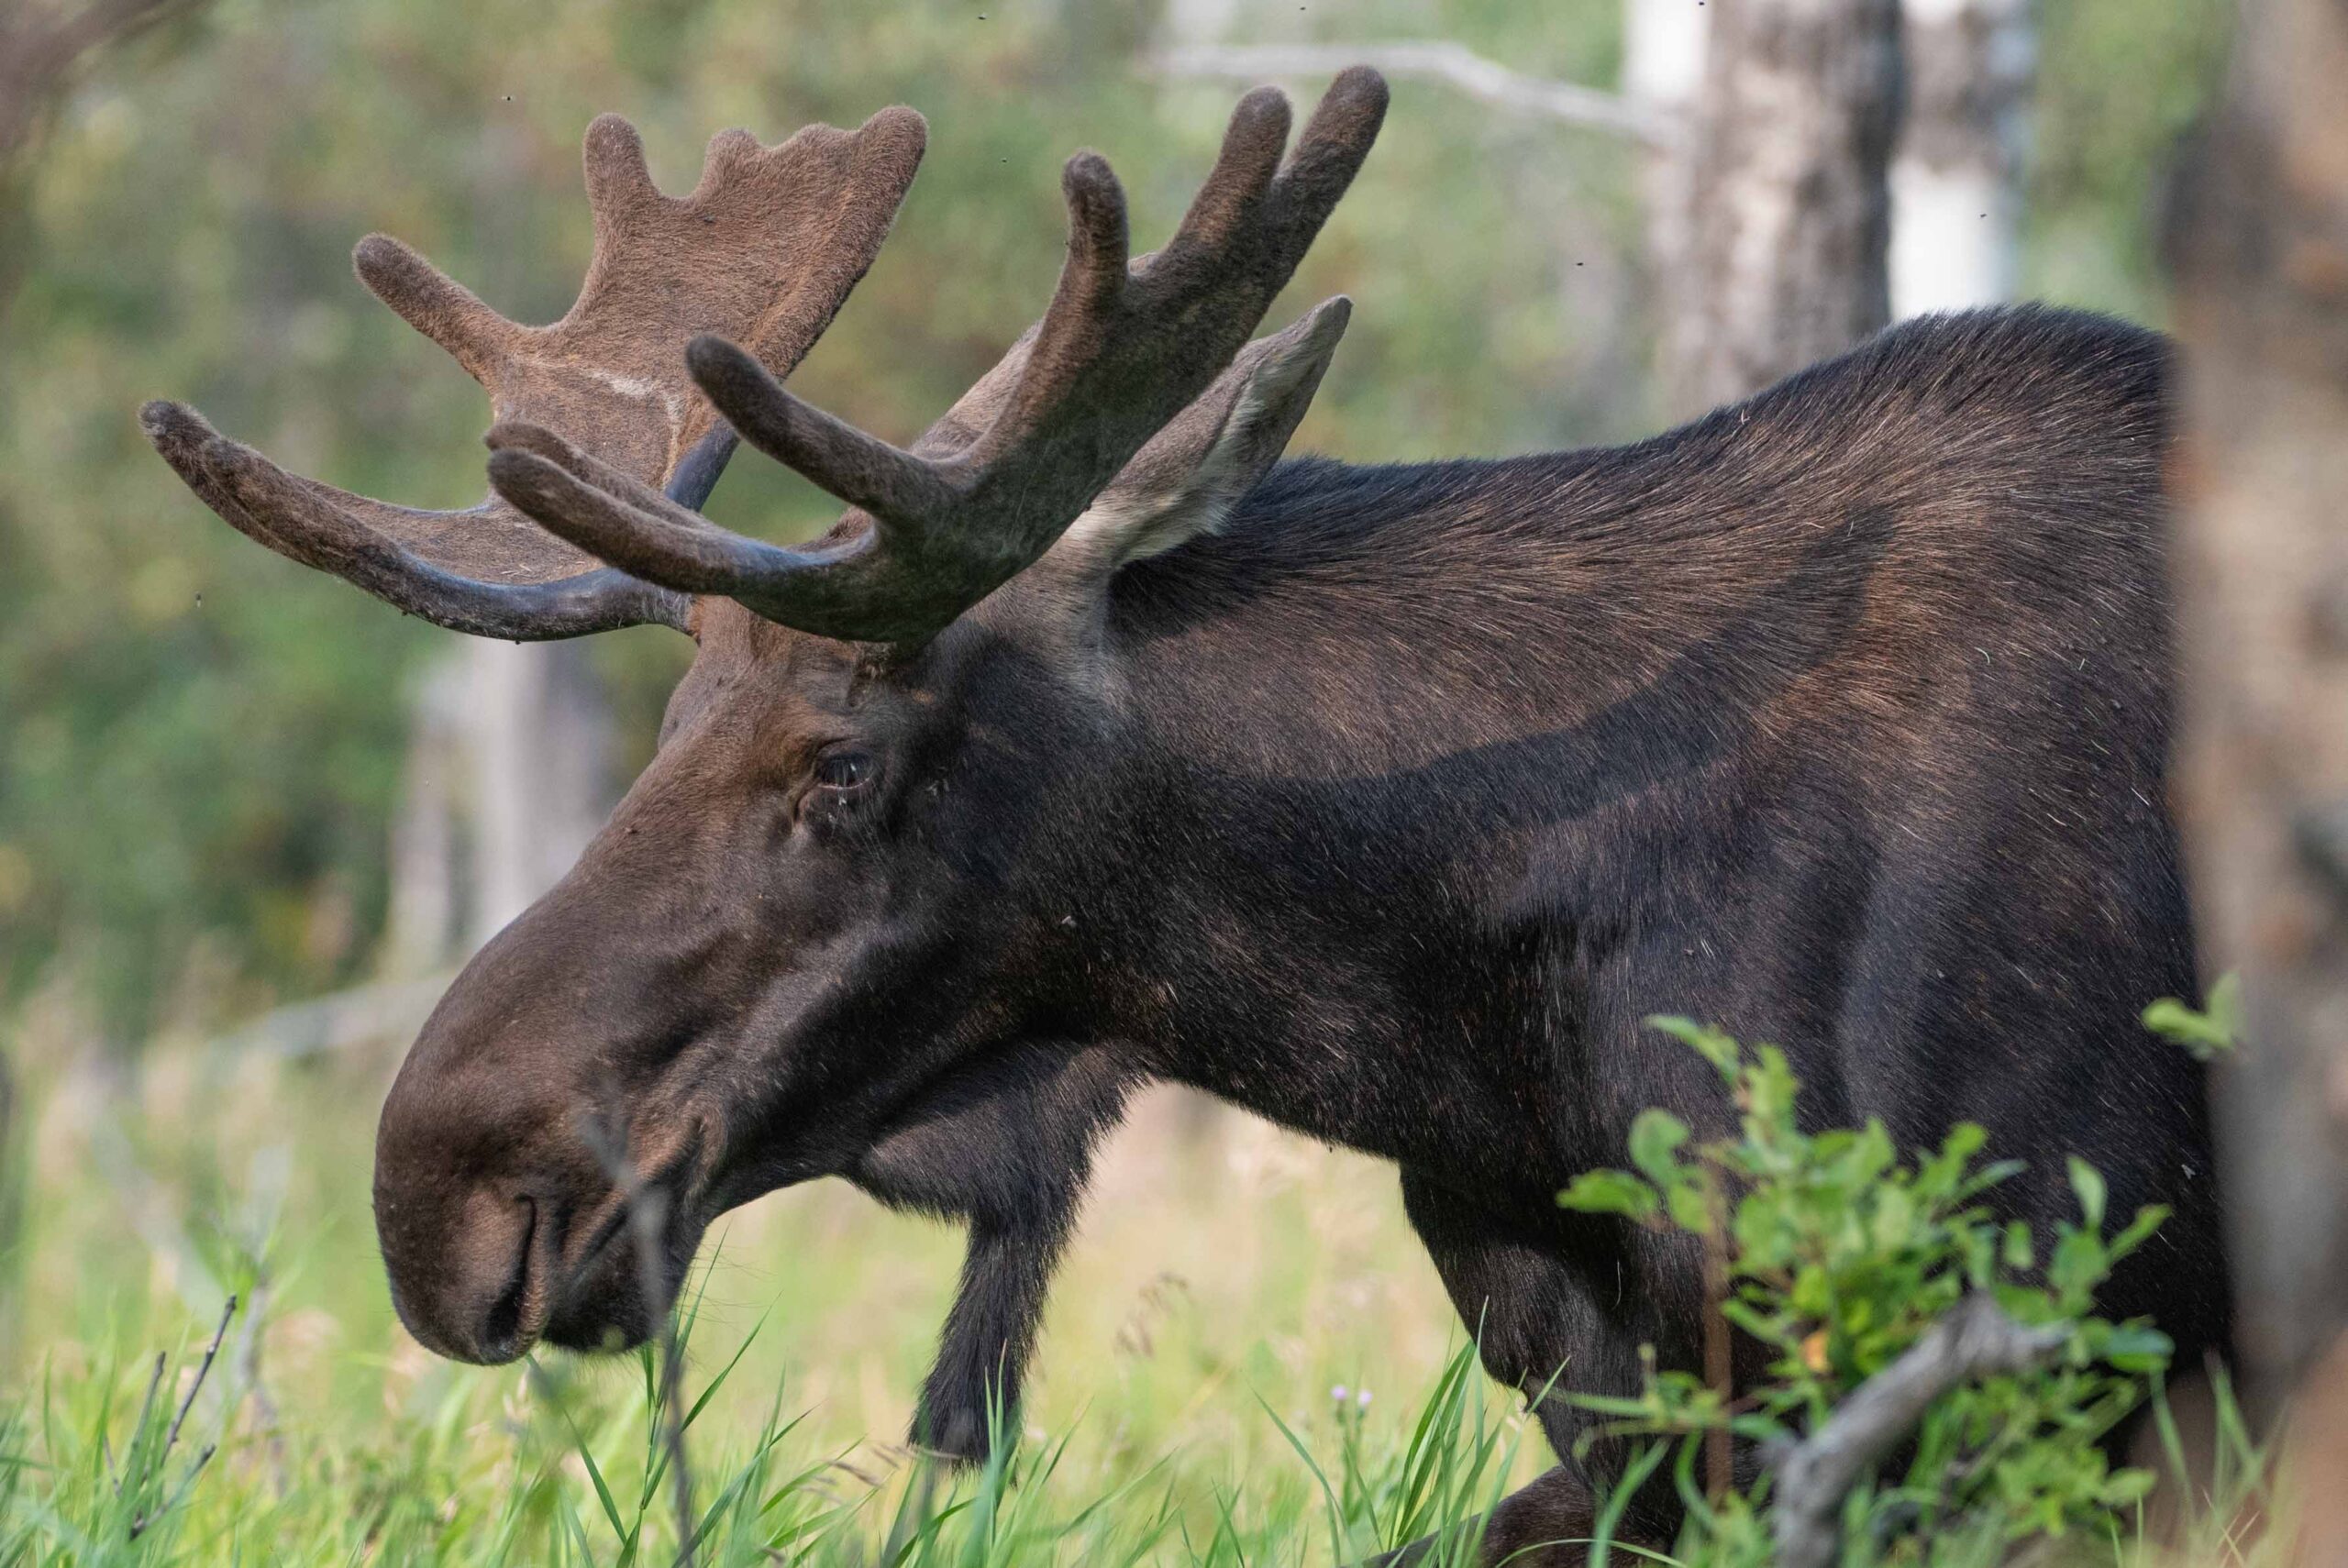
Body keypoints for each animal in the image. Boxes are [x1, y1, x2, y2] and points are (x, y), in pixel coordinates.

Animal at [137, 72, 2225, 1568]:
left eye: (841, 766)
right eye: (665, 728)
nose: (441, 1191)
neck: (1472, 1034)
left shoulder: (2018, 1338)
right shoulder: (1617, 1384)